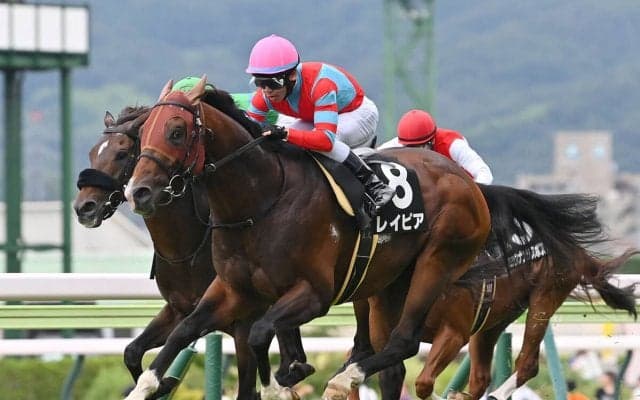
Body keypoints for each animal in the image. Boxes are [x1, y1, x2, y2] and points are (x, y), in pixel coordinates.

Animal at [73, 103, 314, 400]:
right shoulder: (179, 310)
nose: (84, 207)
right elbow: (132, 351)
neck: (185, 249)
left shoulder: (242, 322)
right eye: (93, 152)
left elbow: (248, 386)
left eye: (121, 153)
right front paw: (164, 383)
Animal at [120, 76, 500, 400]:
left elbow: (260, 334)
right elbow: (183, 331)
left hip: (437, 261)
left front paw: (276, 387)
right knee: (393, 359)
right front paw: (147, 386)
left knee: (404, 341)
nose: (138, 192)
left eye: (176, 131)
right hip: (389, 283)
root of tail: (466, 182)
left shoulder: (313, 293)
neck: (260, 201)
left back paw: (343, 379)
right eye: (143, 132)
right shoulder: (231, 291)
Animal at [362, 185, 638, 399]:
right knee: (481, 376)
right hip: (492, 321)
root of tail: (574, 248)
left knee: (527, 364)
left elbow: (423, 383)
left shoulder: (454, 332)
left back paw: (495, 394)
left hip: (544, 297)